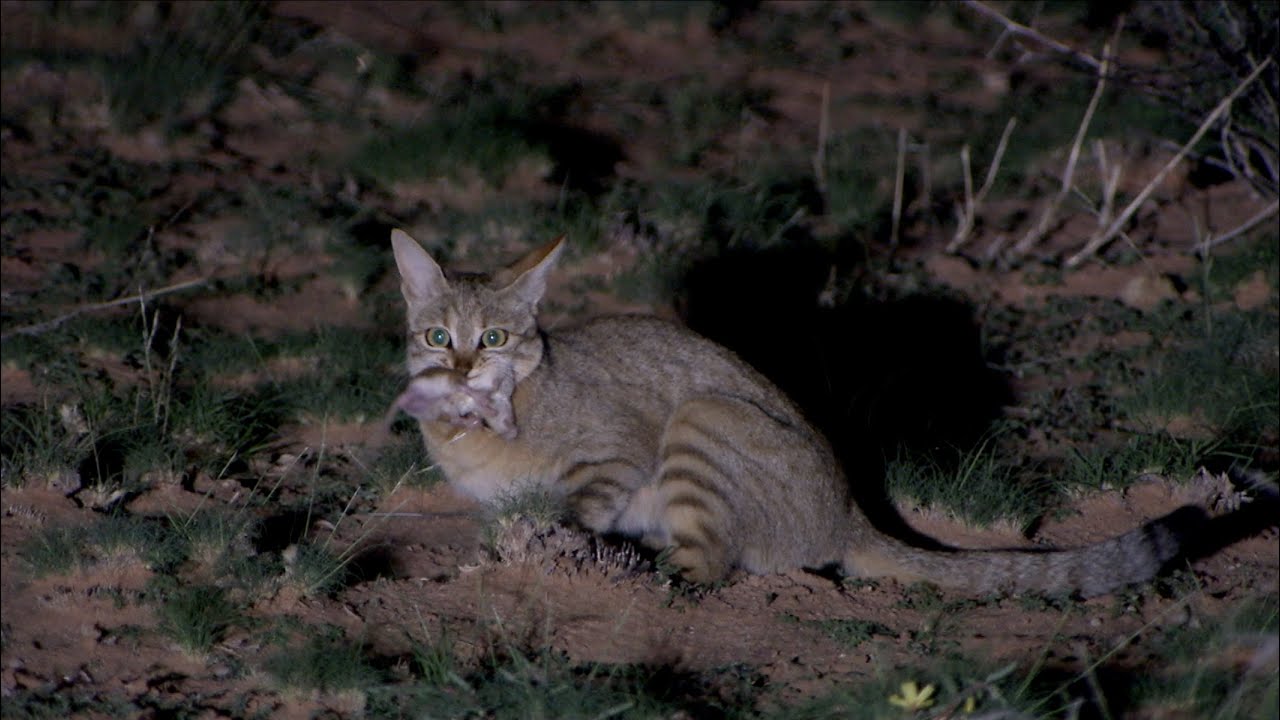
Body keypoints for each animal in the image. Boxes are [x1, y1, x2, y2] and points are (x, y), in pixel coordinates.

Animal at [386, 228, 1198, 594]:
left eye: (493, 338)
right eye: (438, 336)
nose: (461, 365)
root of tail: (849, 514)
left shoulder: (618, 454)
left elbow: (574, 507)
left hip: (703, 419)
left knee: (710, 565)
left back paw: (657, 574)